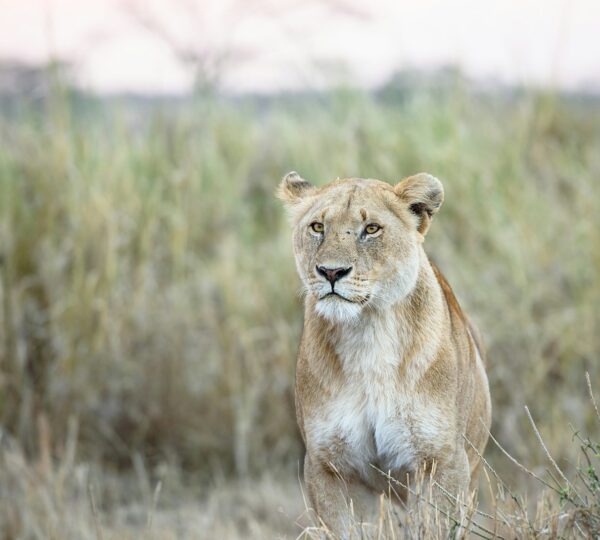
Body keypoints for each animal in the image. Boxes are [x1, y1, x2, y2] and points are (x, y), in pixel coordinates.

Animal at [276, 171, 492, 532]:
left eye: (372, 229)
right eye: (318, 227)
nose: (331, 272)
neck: (367, 332)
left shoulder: (441, 462)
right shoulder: (329, 466)